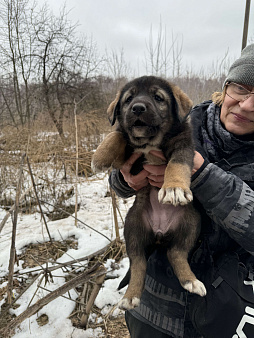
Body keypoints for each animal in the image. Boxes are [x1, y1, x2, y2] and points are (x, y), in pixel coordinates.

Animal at [91, 76, 206, 308]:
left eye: (158, 97)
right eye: (128, 99)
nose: (137, 108)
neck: (149, 142)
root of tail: (160, 233)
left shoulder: (184, 145)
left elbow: (177, 165)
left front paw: (174, 188)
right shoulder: (126, 162)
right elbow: (116, 134)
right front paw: (100, 156)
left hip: (191, 223)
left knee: (176, 253)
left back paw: (191, 281)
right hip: (133, 228)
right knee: (138, 263)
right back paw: (130, 296)